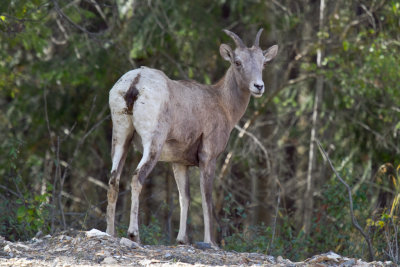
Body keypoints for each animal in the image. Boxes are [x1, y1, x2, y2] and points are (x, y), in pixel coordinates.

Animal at [106, 28, 278, 247]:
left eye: (263, 63)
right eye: (237, 62)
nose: (258, 86)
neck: (222, 104)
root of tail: (135, 82)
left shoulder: (179, 163)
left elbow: (184, 197)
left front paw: (182, 240)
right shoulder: (208, 157)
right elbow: (206, 198)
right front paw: (210, 242)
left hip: (121, 138)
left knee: (113, 180)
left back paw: (110, 233)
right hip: (152, 144)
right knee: (137, 177)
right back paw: (134, 234)